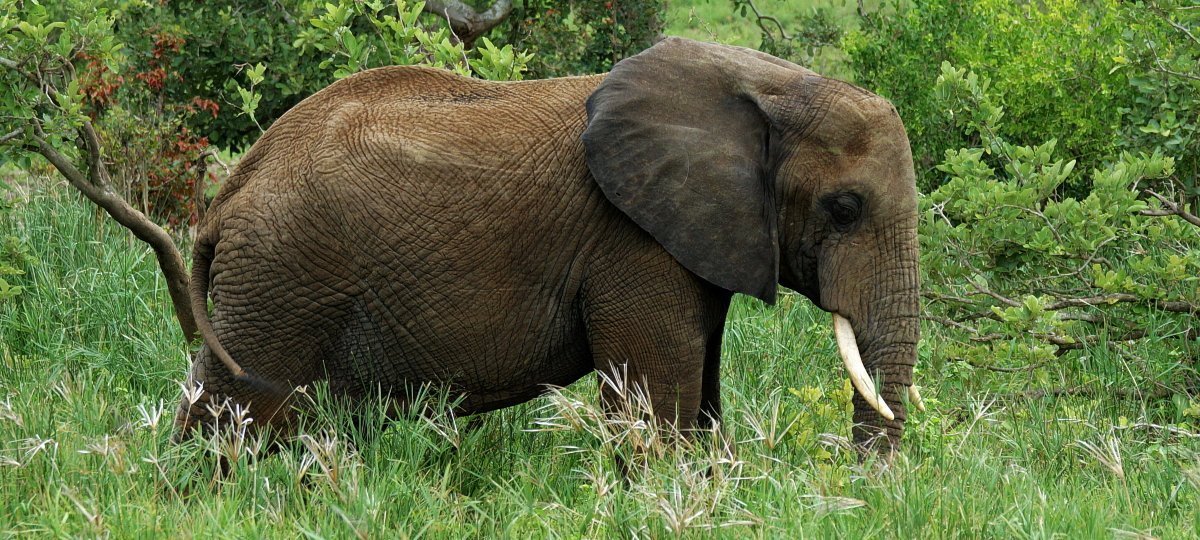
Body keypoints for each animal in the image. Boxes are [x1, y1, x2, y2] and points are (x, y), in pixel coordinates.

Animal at [174, 35, 921, 453]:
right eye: (845, 208)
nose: (864, 477)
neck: (770, 84)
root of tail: (229, 194)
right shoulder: (631, 241)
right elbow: (658, 402)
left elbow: (701, 395)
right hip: (281, 279)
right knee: (237, 413)